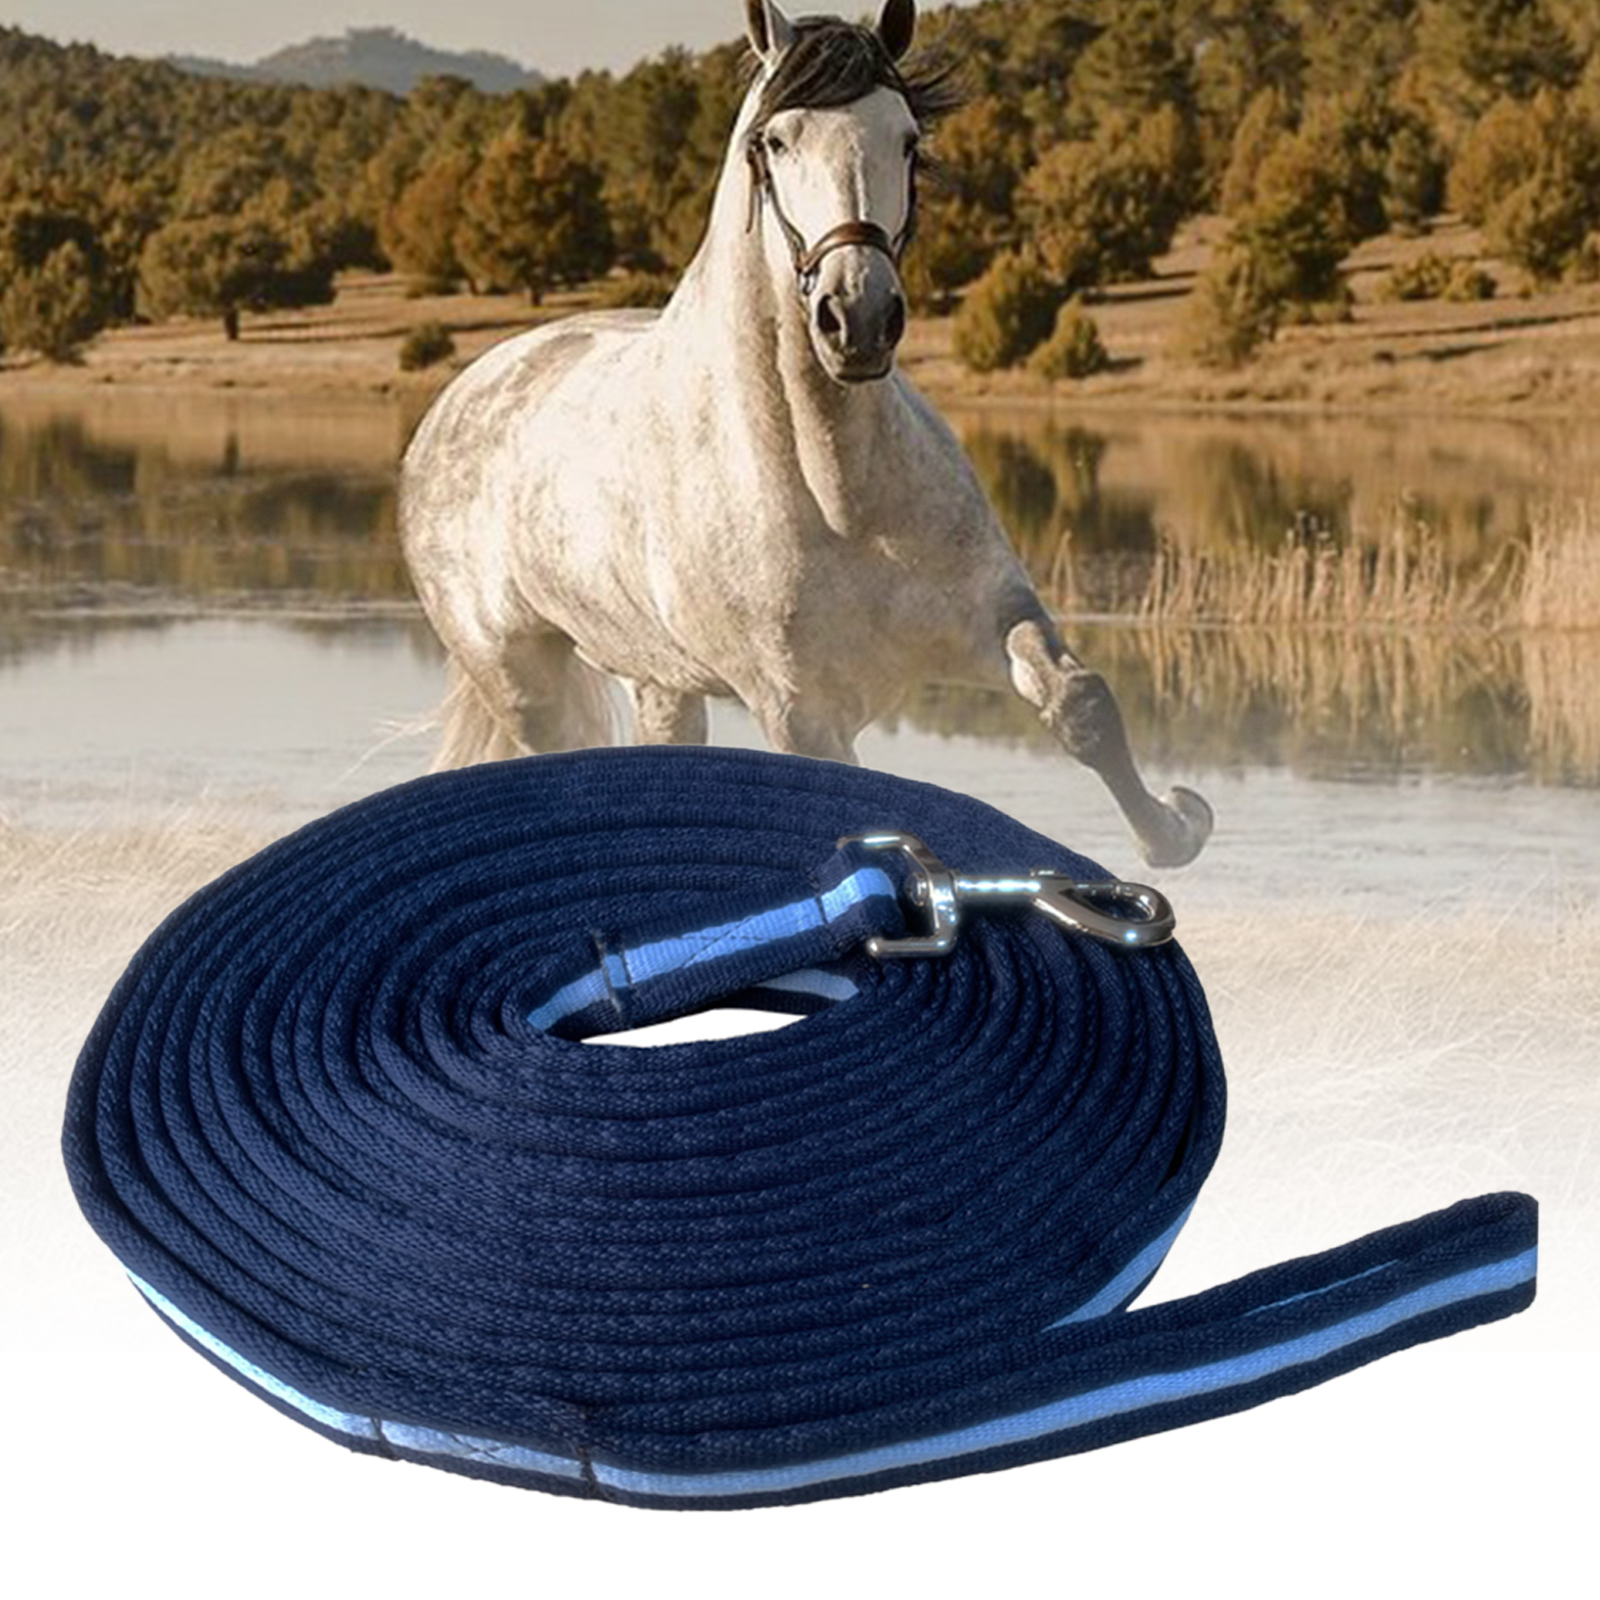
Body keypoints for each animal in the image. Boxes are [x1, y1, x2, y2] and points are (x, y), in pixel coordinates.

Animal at [399, 0, 1214, 868]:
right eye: (776, 141)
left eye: (907, 139)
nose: (857, 317)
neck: (837, 492)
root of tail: (460, 395)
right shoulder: (800, 709)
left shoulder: (992, 616)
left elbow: (1082, 704)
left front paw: (1176, 826)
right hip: (523, 681)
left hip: (660, 680)